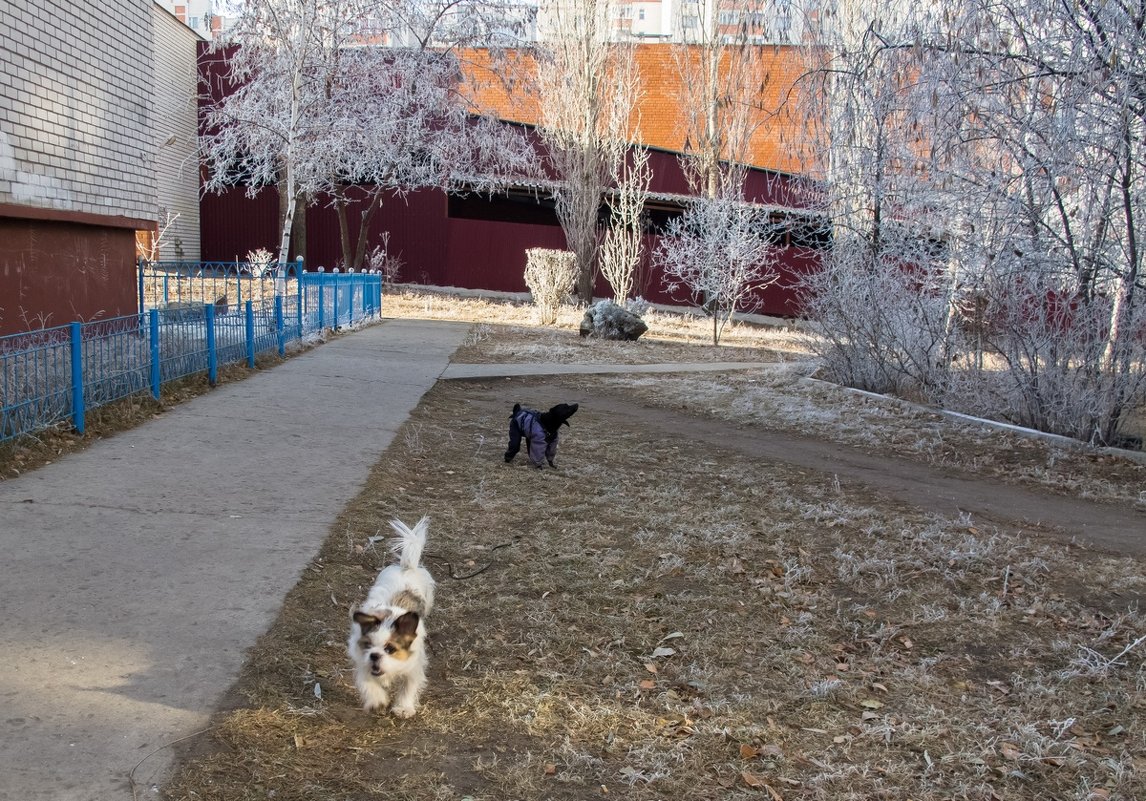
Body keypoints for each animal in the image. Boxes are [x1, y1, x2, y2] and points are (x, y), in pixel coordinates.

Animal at [346, 517, 435, 719]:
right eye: (368, 646)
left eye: (390, 649)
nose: (375, 655)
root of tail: (406, 567)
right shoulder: (363, 663)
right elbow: (368, 682)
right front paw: (377, 700)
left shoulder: (413, 667)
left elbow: (408, 687)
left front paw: (403, 707)